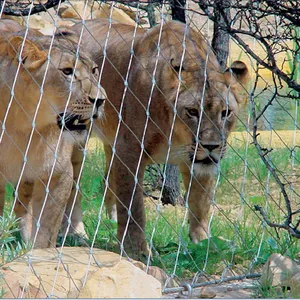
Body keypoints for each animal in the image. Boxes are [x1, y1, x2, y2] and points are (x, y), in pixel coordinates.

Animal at [0, 19, 107, 247]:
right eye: (67, 71)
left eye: (94, 70)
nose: (101, 99)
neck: (25, 126)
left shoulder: (59, 173)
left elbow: (47, 230)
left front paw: (36, 251)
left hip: (77, 157)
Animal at [63, 19, 248, 255]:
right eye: (192, 111)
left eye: (226, 113)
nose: (211, 146)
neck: (175, 131)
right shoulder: (129, 149)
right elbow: (133, 206)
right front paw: (136, 250)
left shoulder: (196, 161)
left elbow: (200, 201)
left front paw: (203, 242)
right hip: (77, 135)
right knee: (73, 186)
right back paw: (75, 233)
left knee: (107, 180)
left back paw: (111, 221)